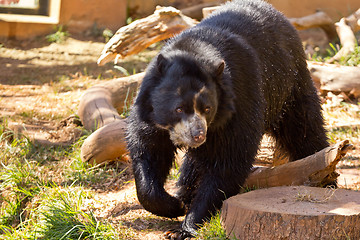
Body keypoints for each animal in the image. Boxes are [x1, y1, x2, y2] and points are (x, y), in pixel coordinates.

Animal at [126, 0, 330, 238]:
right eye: (178, 109)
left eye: (207, 109)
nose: (197, 135)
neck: (195, 51)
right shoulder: (149, 110)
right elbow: (148, 148)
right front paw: (175, 205)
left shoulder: (239, 102)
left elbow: (229, 161)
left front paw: (185, 226)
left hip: (290, 85)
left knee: (304, 129)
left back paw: (326, 176)